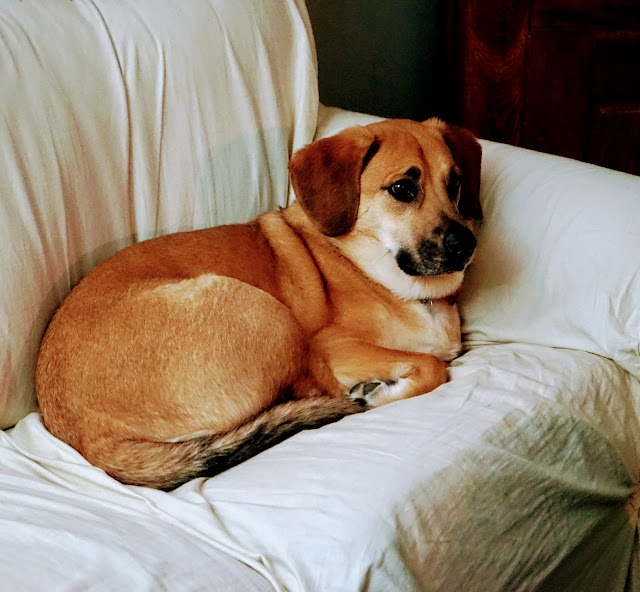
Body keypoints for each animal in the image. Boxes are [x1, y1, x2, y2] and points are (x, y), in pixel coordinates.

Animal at [36, 117, 480, 490]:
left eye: (455, 183)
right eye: (402, 189)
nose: (467, 244)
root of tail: (89, 442)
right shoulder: (333, 348)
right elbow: (433, 366)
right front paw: (382, 391)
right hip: (263, 313)